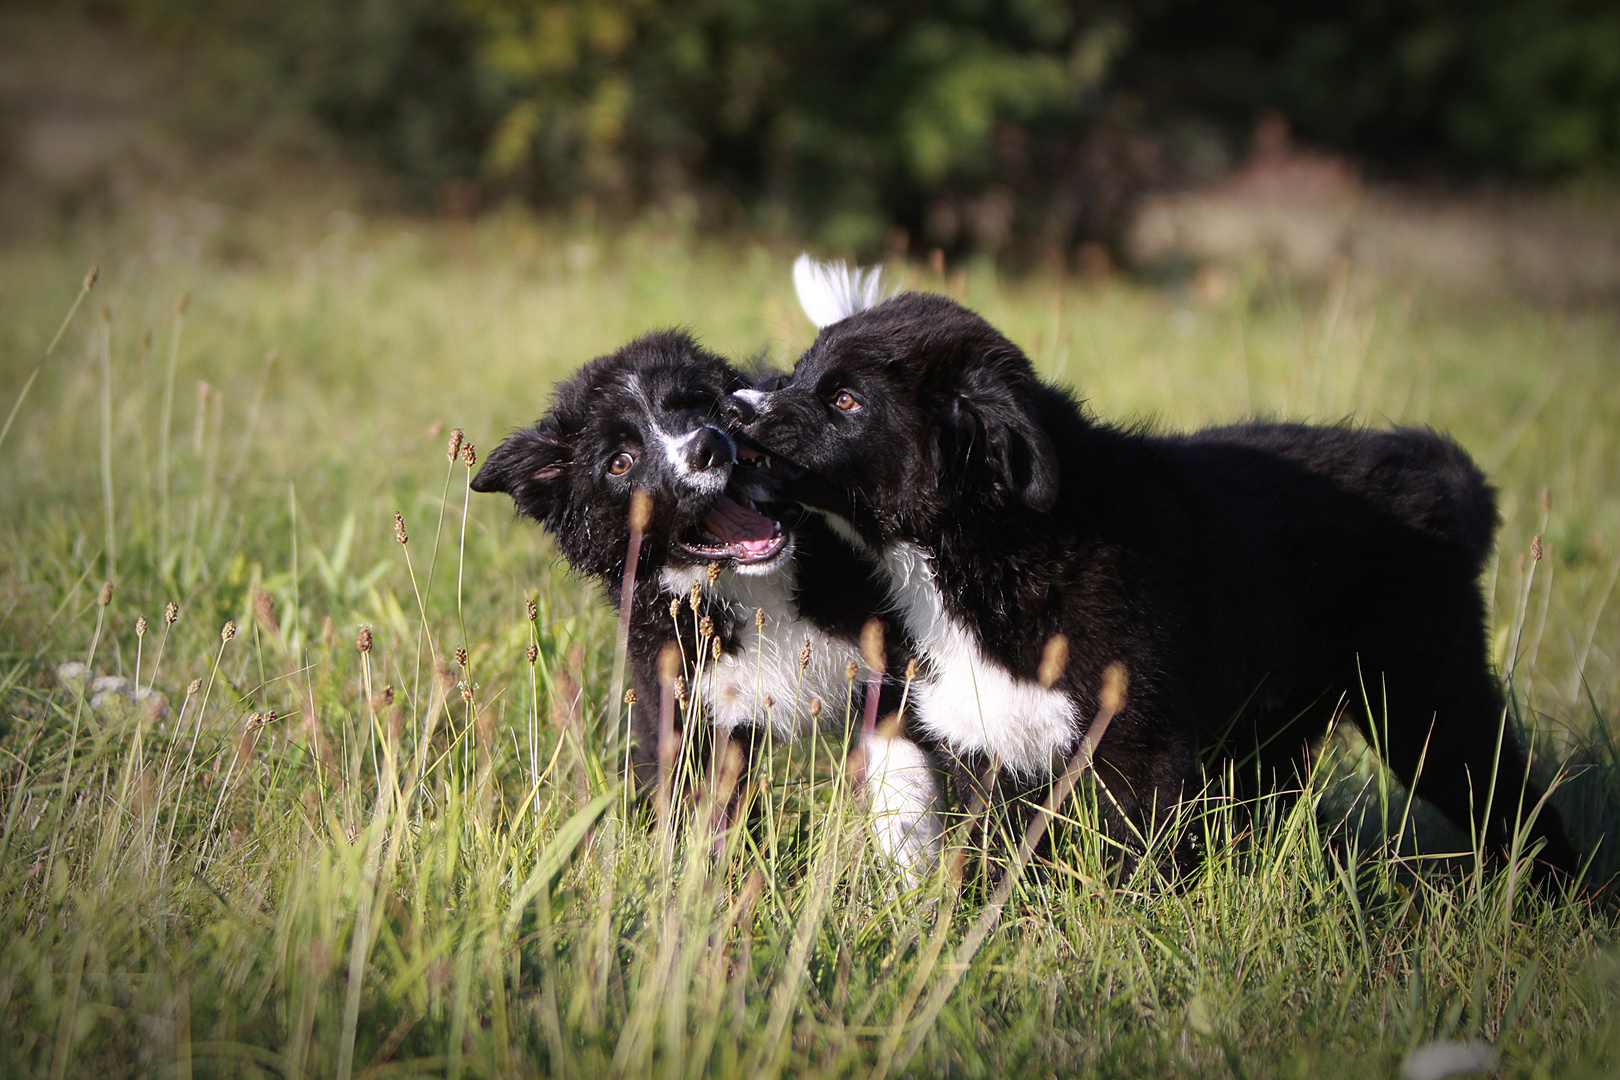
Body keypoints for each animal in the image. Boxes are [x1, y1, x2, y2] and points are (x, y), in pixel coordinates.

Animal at [469, 327, 946, 867]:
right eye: (620, 462)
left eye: (696, 405)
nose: (709, 445)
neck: (757, 590)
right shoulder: (693, 707)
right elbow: (713, 823)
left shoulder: (886, 666)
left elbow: (906, 796)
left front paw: (918, 882)